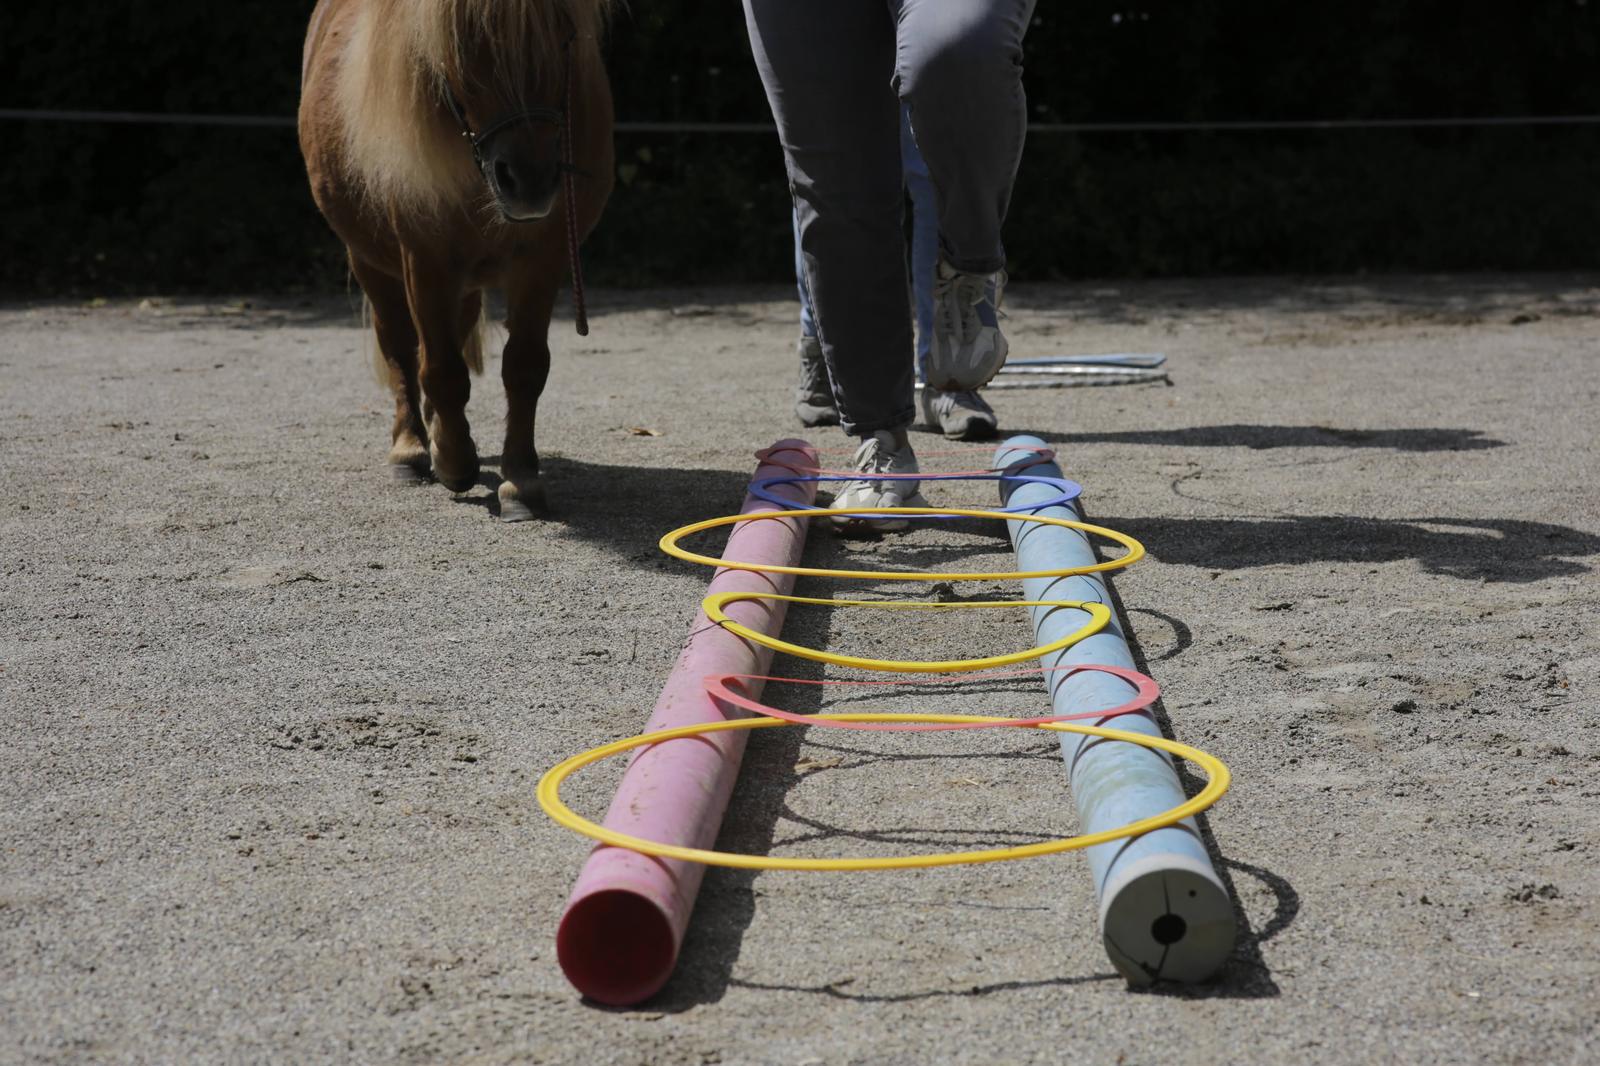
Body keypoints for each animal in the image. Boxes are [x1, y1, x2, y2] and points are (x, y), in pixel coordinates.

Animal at [298, 0, 614, 520]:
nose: (529, 180)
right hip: (370, 262)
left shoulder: (541, 258)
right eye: (462, 46)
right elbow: (439, 368)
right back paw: (411, 447)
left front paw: (520, 480)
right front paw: (452, 460)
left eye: (566, 36)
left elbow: (524, 366)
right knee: (402, 347)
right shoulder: (424, 261)